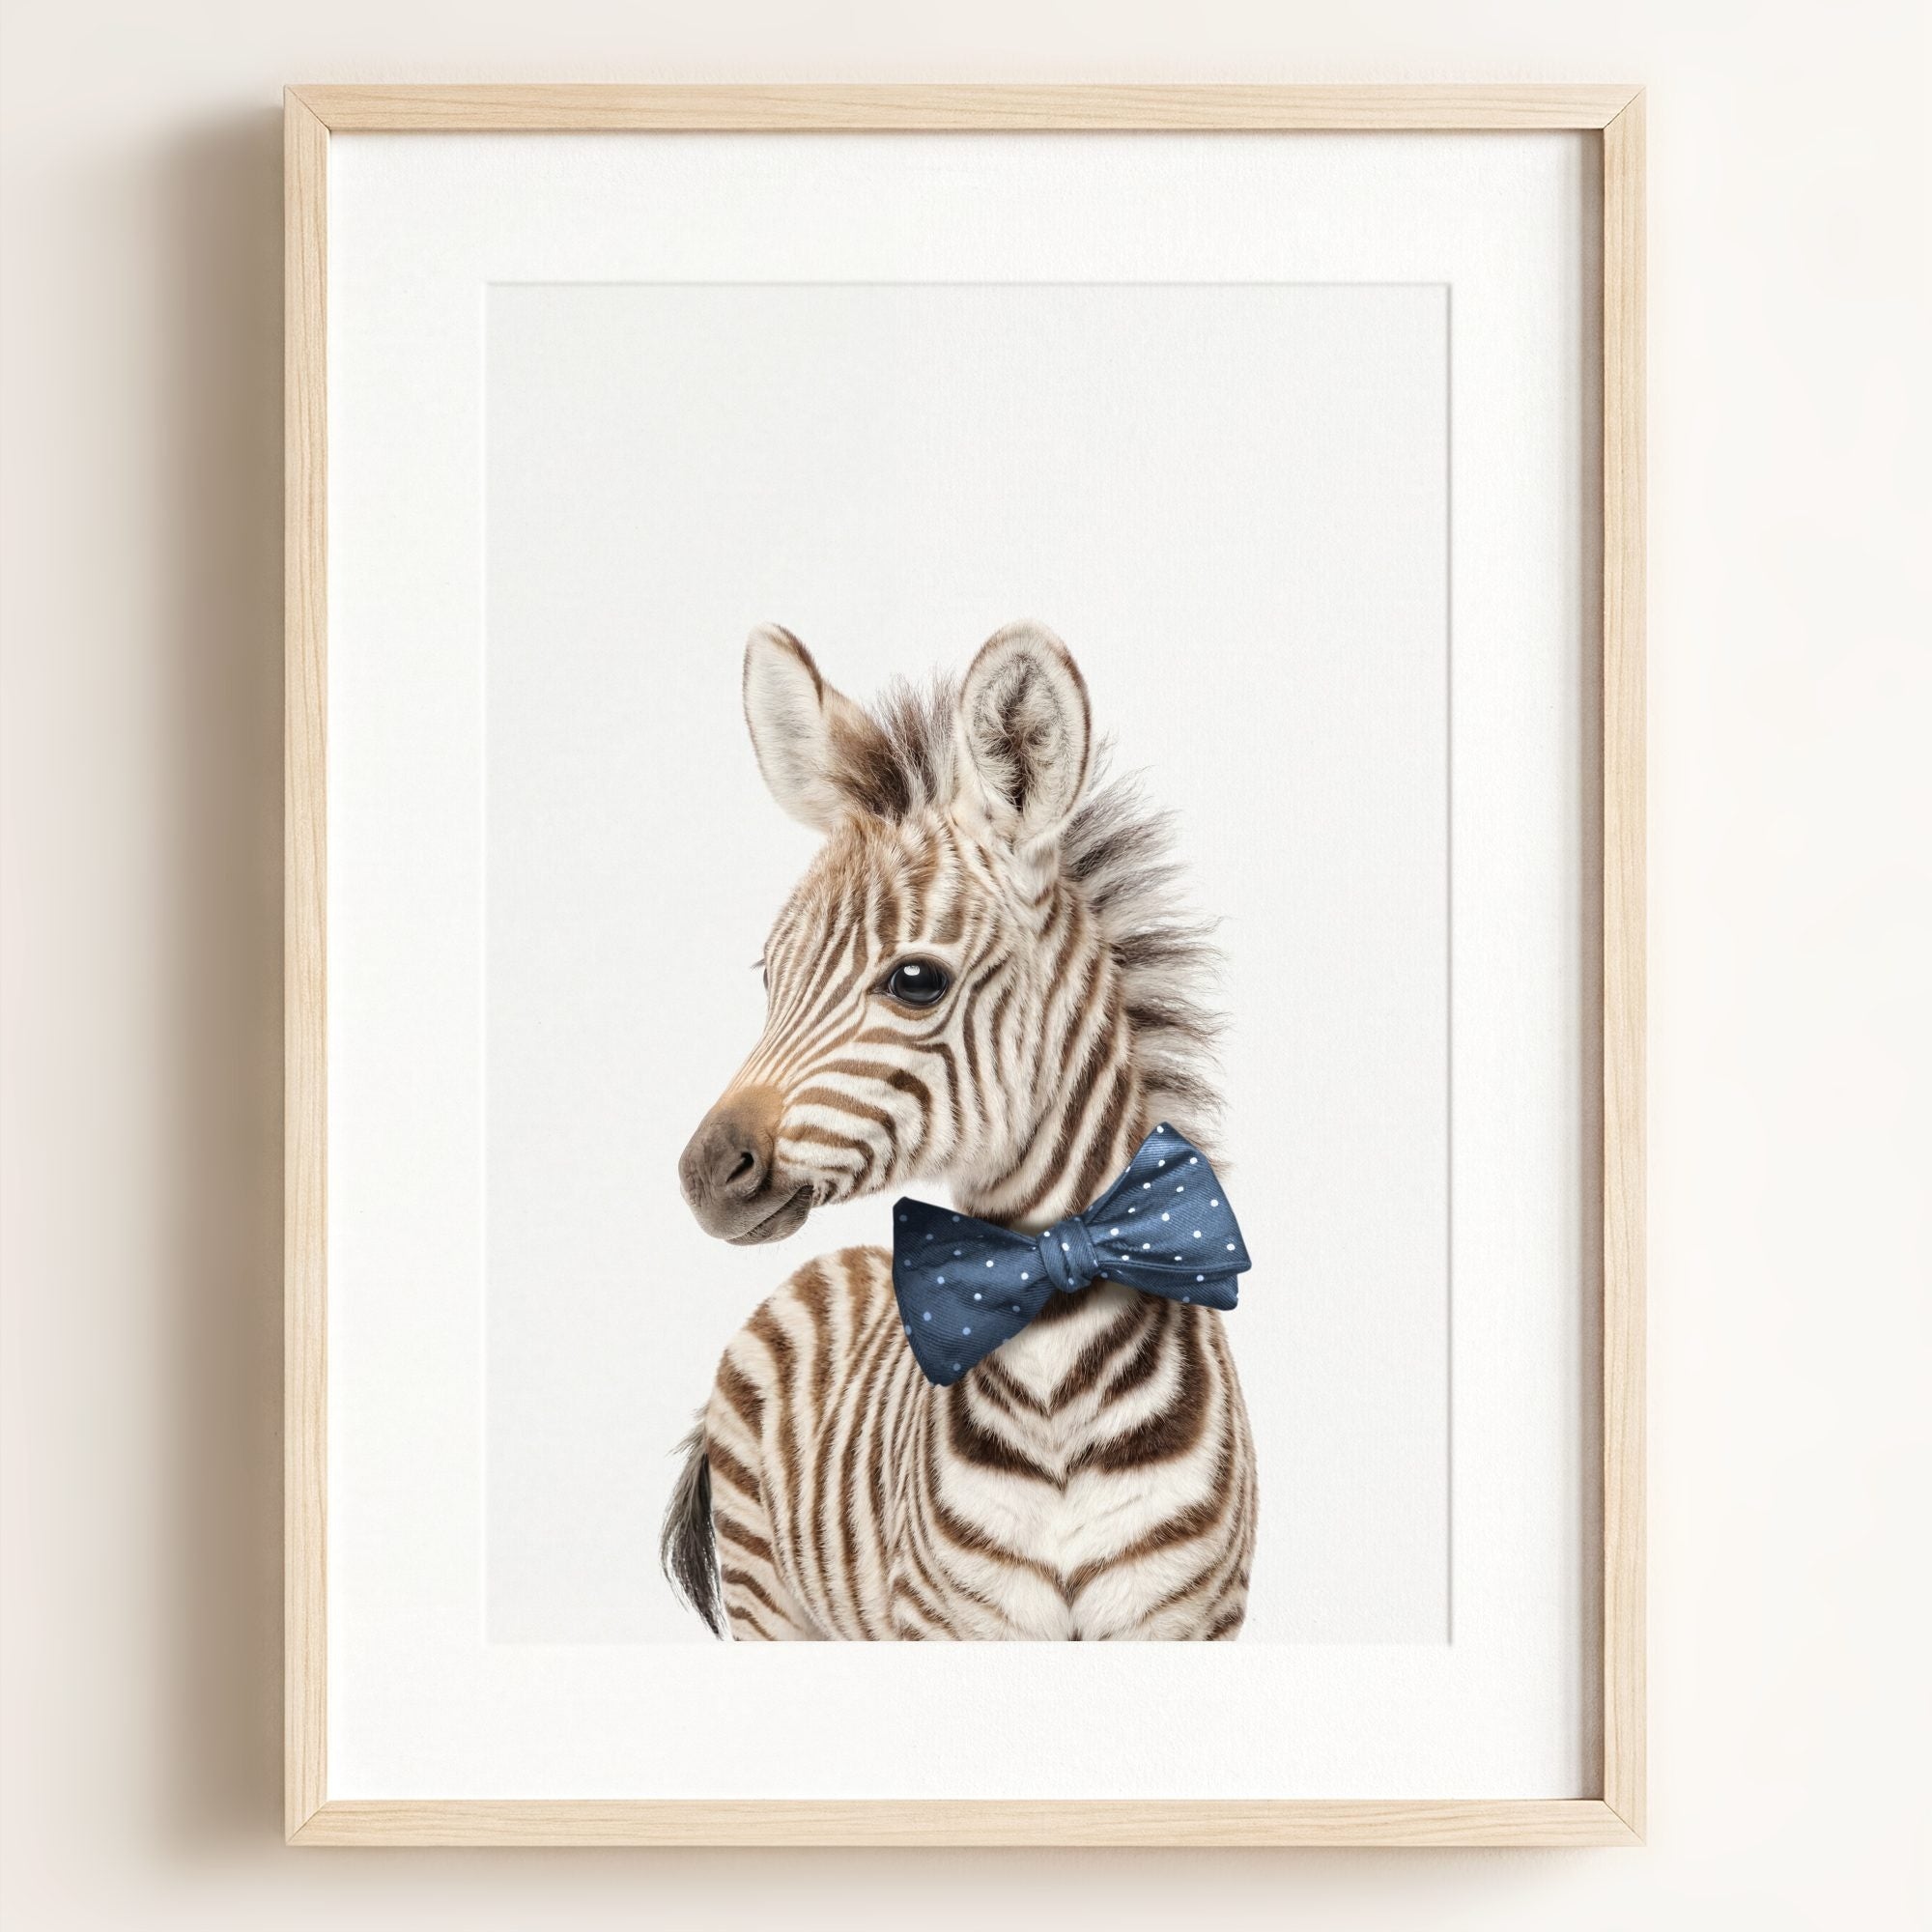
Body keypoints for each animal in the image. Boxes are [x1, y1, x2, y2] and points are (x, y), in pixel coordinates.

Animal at [662, 619, 1257, 1640]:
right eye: (770, 975)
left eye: (916, 981)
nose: (705, 1172)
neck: (1057, 1381)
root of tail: (828, 1266)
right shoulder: (951, 1624)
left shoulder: (1189, 1621)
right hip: (768, 1599)